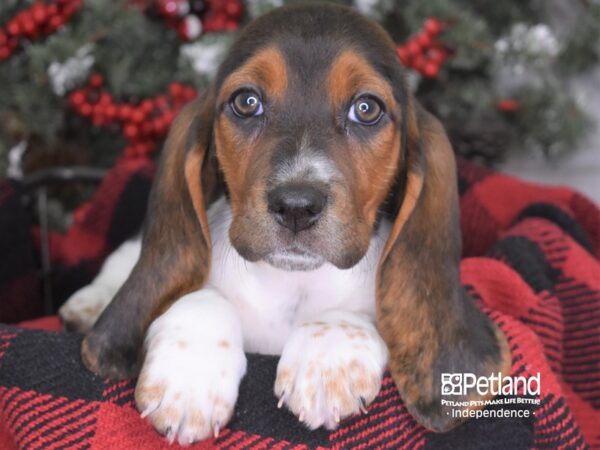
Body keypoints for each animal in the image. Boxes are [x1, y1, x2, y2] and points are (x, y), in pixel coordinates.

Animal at [61, 3, 510, 444]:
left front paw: (327, 357)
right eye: (246, 102)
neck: (292, 282)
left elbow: (364, 314)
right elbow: (200, 296)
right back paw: (88, 303)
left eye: (367, 109)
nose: (296, 206)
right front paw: (188, 376)